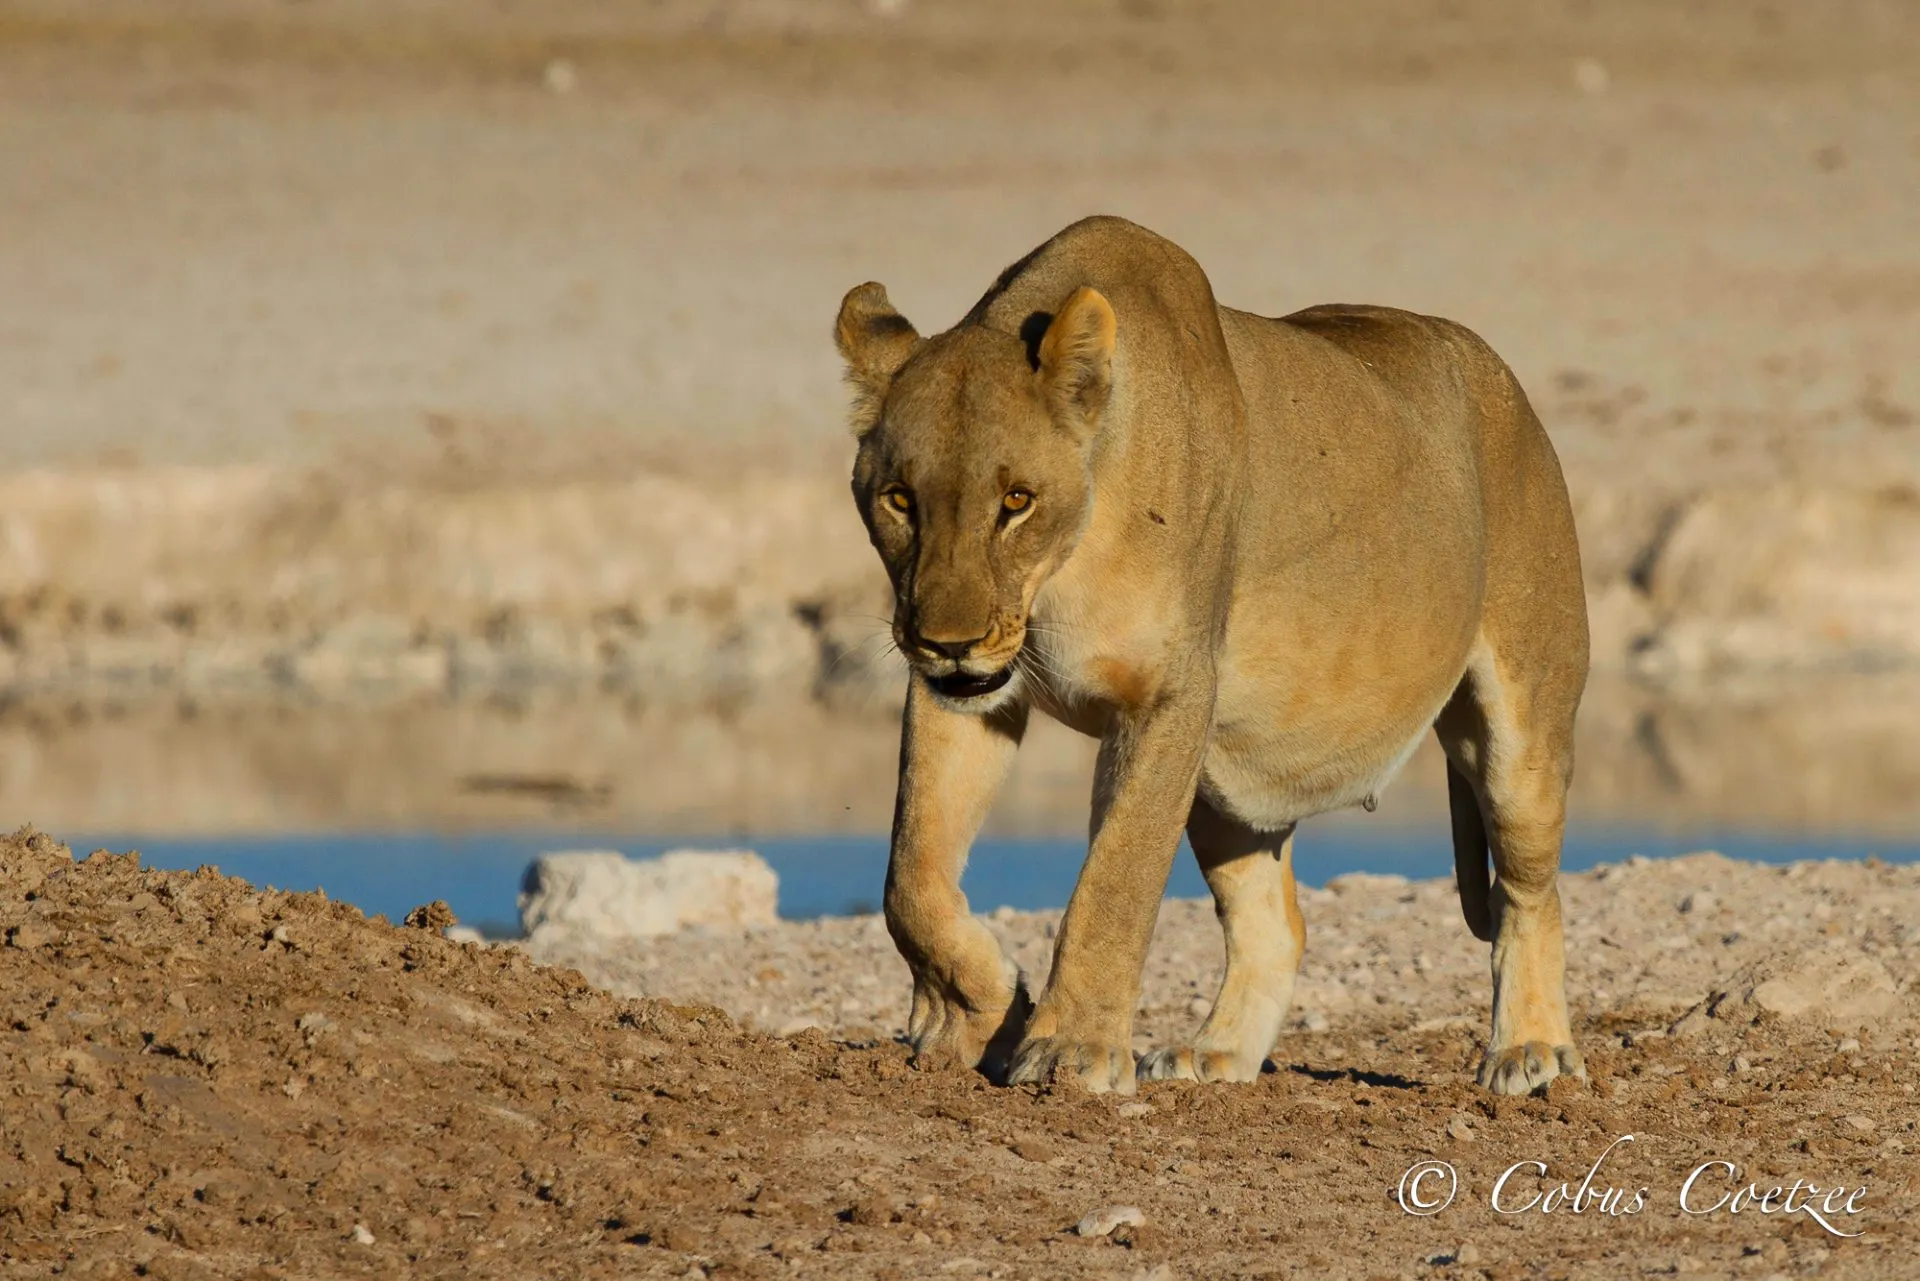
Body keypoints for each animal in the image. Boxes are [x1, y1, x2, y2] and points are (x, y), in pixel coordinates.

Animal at [833, 215, 1588, 1096]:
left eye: (1016, 500)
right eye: (900, 499)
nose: (947, 642)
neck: (1059, 573)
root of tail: (1513, 389)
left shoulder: (1170, 695)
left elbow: (1114, 879)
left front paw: (1070, 1049)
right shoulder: (962, 694)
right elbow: (911, 876)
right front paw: (981, 1013)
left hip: (1521, 726)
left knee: (1529, 890)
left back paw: (1528, 1049)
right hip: (1227, 782)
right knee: (1277, 923)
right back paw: (1215, 1054)